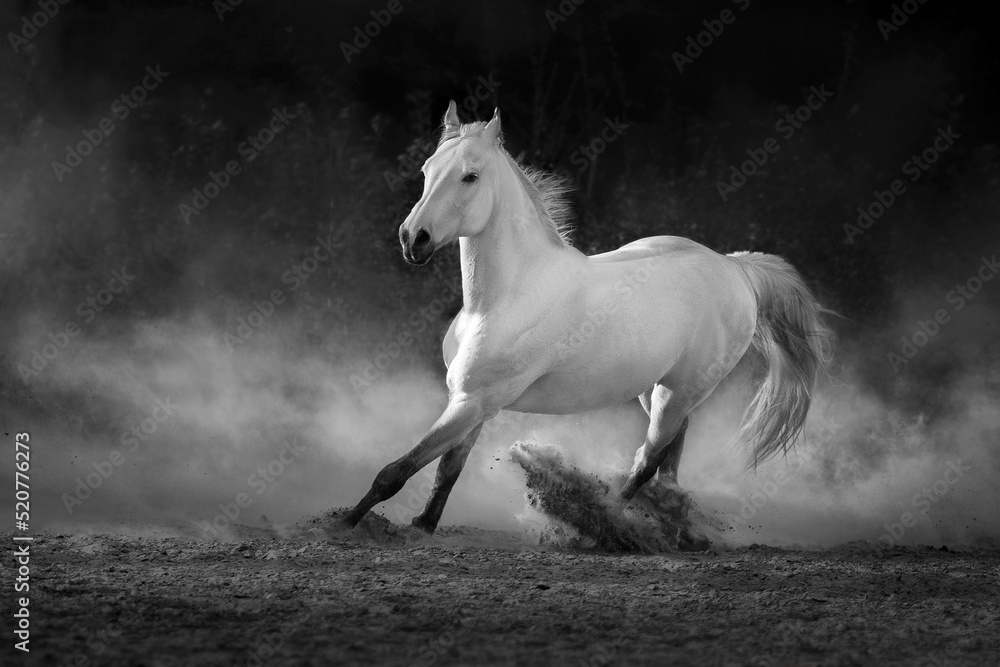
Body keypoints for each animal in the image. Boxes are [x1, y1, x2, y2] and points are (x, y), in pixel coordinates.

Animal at [344, 101, 833, 533]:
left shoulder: (472, 402)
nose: (413, 239)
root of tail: (736, 268)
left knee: (648, 459)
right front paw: (422, 526)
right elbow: (447, 471)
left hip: (678, 392)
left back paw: (609, 522)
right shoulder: (472, 404)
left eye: (470, 176)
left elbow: (397, 470)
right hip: (658, 389)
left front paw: (343, 523)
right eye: (426, 170)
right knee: (670, 458)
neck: (506, 297)